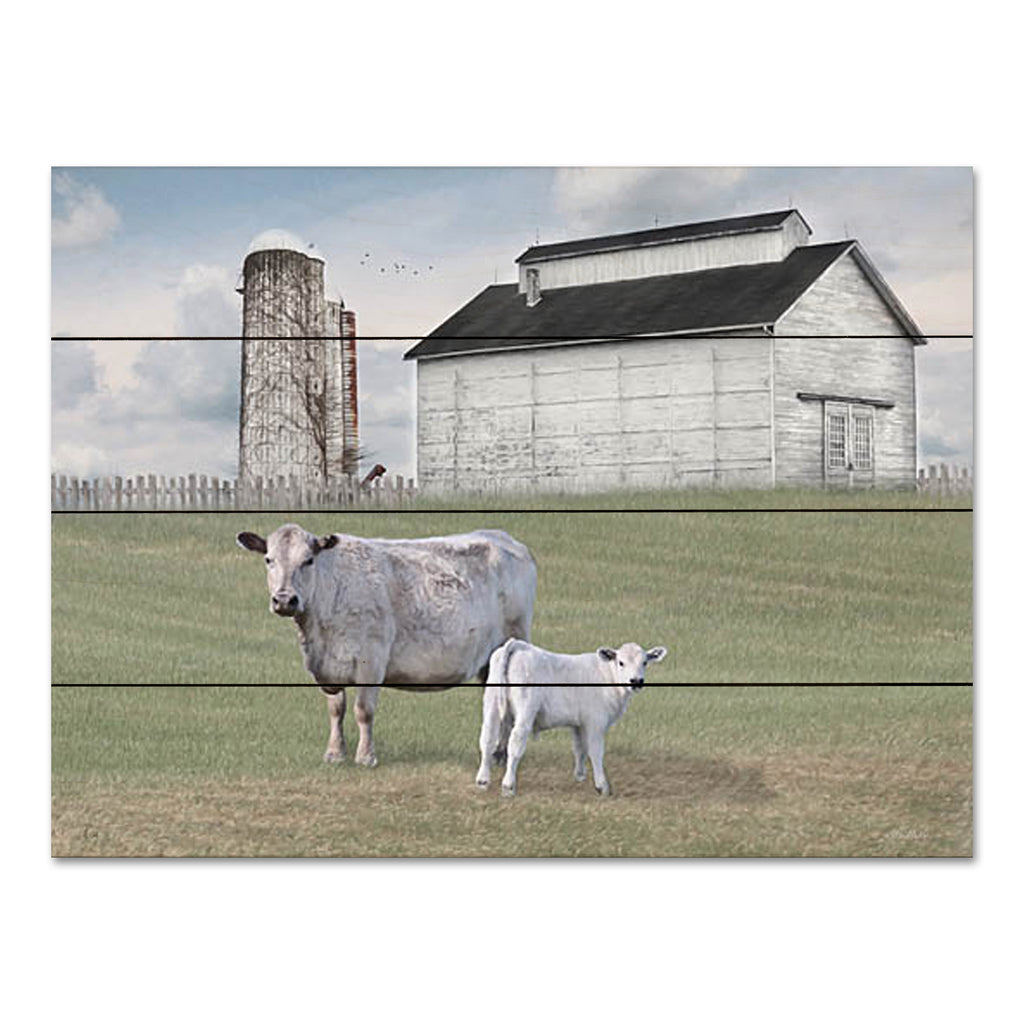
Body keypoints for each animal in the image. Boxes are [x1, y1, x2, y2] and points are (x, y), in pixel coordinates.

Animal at [237, 524, 537, 767]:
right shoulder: (328, 669)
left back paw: (500, 754)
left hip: (512, 638)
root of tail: (504, 538)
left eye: (308, 560)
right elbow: (336, 709)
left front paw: (366, 756)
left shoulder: (371, 660)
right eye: (268, 559)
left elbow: (363, 711)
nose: (285, 600)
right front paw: (334, 753)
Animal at [475, 639, 667, 796]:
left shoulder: (578, 724)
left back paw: (483, 780)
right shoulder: (595, 722)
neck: (608, 677)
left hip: (491, 704)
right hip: (525, 708)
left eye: (645, 662)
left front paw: (580, 776)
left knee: (487, 739)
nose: (636, 681)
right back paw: (508, 785)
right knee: (515, 742)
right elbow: (595, 751)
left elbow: (579, 748)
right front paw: (602, 786)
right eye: (621, 662)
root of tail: (518, 645)